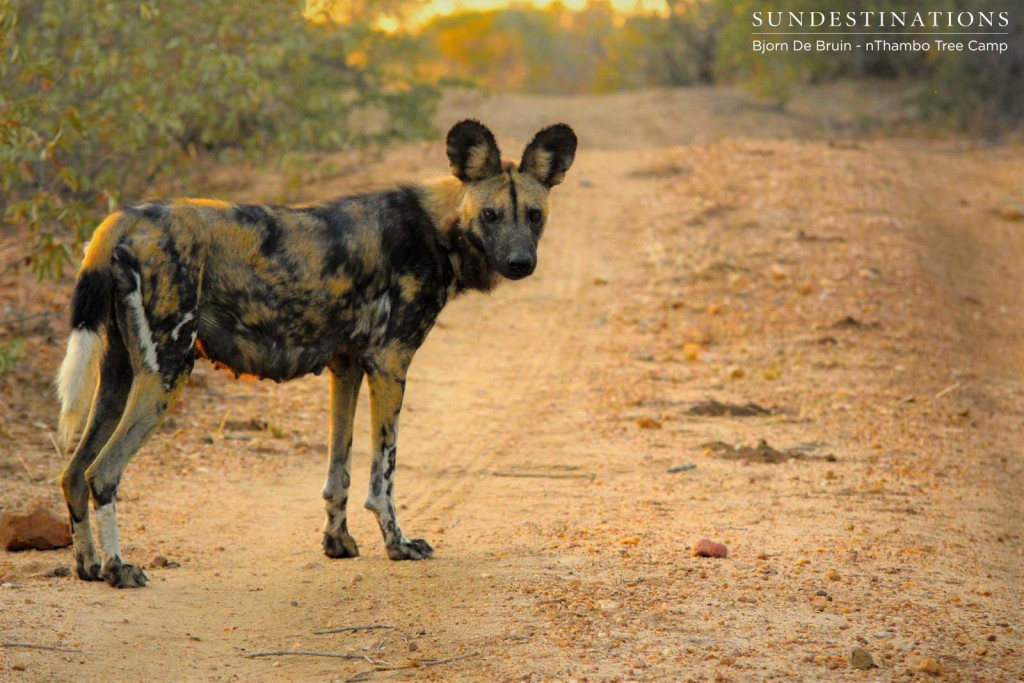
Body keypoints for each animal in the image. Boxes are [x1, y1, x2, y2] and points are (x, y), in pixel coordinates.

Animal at [58, 118, 577, 589]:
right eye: (490, 215)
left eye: (534, 215)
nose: (520, 263)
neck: (438, 228)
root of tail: (123, 218)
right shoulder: (389, 363)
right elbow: (382, 475)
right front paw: (398, 544)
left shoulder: (345, 366)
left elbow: (338, 470)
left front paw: (337, 543)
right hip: (169, 369)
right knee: (102, 473)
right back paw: (119, 569)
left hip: (120, 374)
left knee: (74, 472)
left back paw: (89, 566)